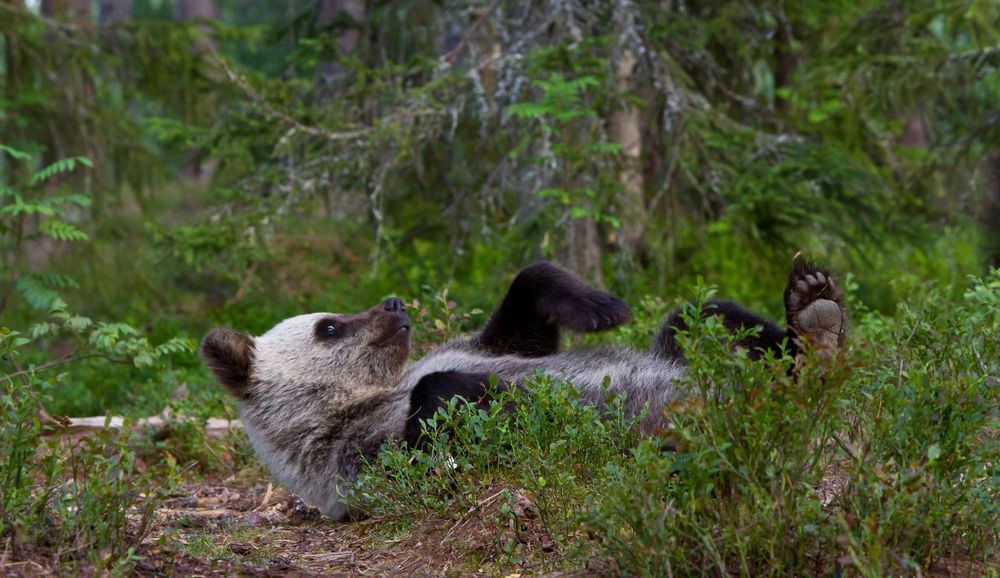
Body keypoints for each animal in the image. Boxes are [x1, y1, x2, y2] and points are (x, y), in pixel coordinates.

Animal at [197, 258, 844, 520]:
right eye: (328, 326)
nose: (394, 304)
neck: (361, 399)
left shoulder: (480, 345)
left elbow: (523, 316)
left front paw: (602, 306)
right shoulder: (359, 456)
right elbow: (439, 416)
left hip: (695, 346)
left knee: (702, 312)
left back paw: (815, 321)